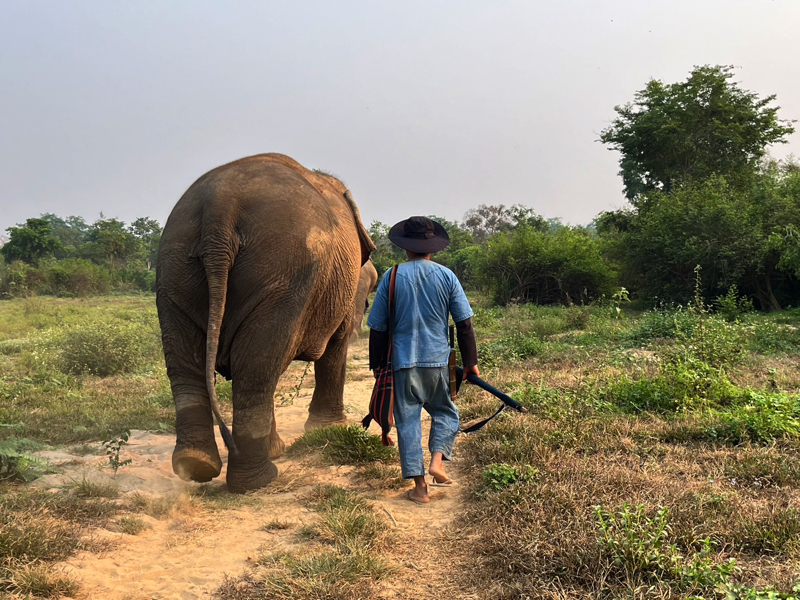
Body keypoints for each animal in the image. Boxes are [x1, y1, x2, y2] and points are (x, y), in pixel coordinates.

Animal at [156, 153, 376, 493]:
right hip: (283, 270)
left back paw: (197, 465)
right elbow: (337, 345)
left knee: (193, 366)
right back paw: (259, 478)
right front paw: (329, 428)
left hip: (176, 265)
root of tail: (221, 202)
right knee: (257, 366)